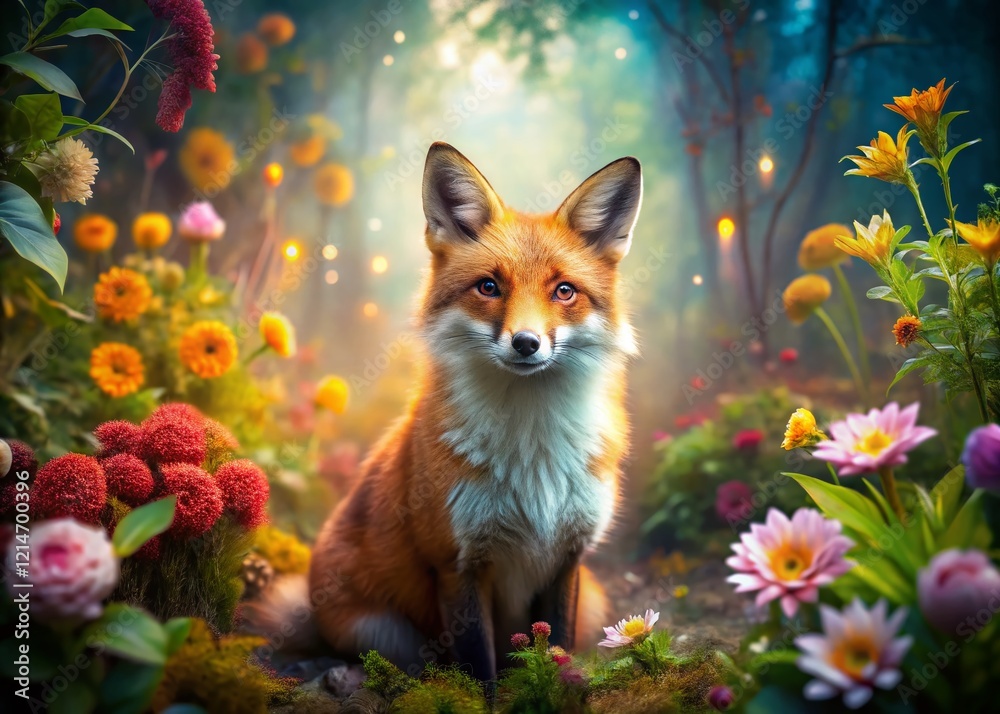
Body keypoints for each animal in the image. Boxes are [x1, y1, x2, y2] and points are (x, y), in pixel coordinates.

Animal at [264, 142, 642, 681]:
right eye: (488, 287)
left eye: (564, 291)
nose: (526, 343)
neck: (533, 452)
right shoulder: (455, 563)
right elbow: (478, 671)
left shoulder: (570, 558)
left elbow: (558, 652)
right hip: (381, 631)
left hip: (591, 599)